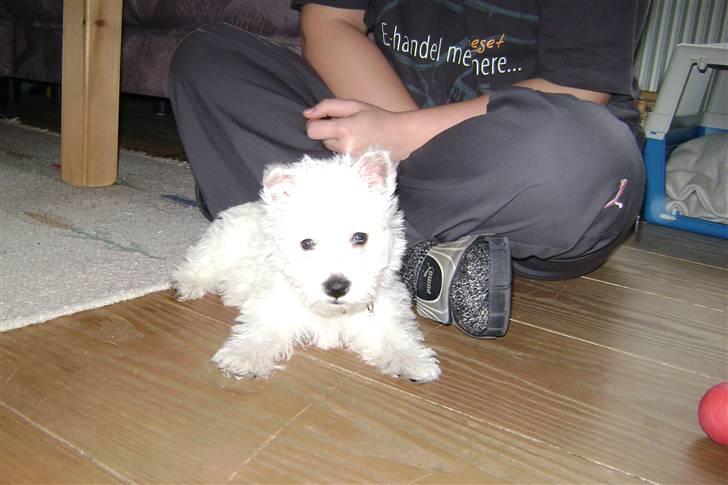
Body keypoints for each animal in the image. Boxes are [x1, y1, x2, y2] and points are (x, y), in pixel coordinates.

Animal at [173, 150, 440, 382]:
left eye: (360, 237)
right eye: (307, 243)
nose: (336, 287)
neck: (331, 312)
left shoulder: (382, 312)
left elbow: (395, 337)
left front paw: (414, 361)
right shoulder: (273, 304)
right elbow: (261, 331)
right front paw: (243, 357)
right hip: (225, 242)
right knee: (202, 261)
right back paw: (185, 283)